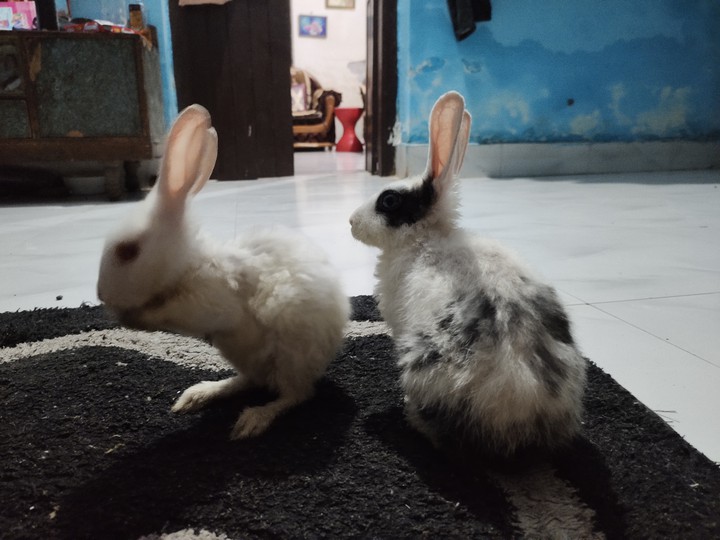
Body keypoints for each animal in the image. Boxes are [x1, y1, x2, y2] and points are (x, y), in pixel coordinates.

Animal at [97, 104, 350, 440]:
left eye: (128, 251)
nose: (101, 294)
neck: (188, 264)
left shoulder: (210, 302)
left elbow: (171, 313)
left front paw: (134, 318)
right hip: (243, 355)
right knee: (248, 381)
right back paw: (197, 395)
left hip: (290, 358)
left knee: (294, 395)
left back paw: (252, 420)